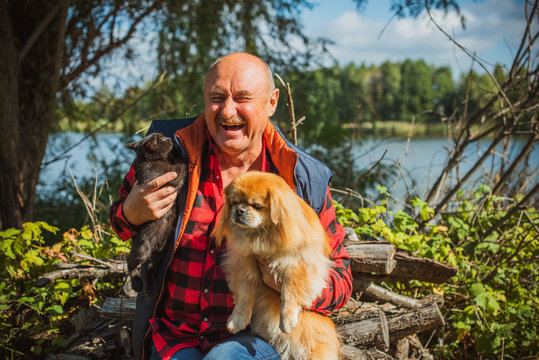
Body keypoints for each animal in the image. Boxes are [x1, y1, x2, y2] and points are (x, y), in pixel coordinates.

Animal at [213, 172, 340, 360]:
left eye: (257, 206)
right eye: (234, 203)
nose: (240, 210)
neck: (262, 235)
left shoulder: (299, 264)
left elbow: (289, 292)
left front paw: (286, 320)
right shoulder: (244, 266)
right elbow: (244, 295)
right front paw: (237, 320)